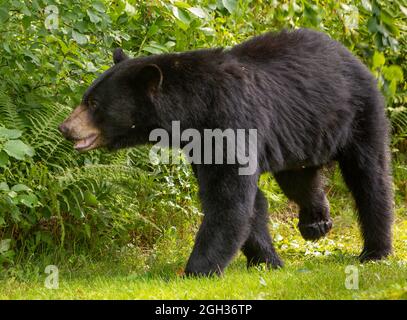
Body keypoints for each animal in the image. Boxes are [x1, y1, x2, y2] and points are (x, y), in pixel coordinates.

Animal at [59, 28, 394, 276]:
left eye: (94, 104)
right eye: (86, 97)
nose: (65, 128)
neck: (193, 109)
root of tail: (350, 54)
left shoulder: (230, 120)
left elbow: (228, 199)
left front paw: (196, 270)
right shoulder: (202, 143)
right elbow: (249, 202)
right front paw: (267, 261)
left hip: (359, 113)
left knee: (369, 178)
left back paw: (375, 251)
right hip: (301, 134)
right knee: (298, 178)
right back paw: (316, 223)